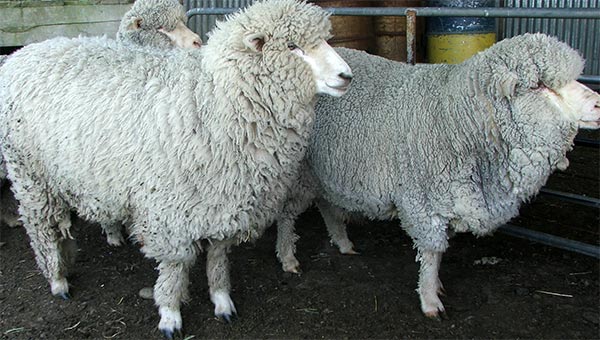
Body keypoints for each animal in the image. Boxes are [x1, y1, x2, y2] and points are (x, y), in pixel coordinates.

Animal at [0, 0, 354, 336]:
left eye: (325, 39)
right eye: (292, 46)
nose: (346, 76)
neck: (212, 100)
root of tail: (21, 53)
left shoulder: (225, 202)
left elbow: (218, 257)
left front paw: (222, 300)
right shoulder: (169, 211)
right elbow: (174, 266)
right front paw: (170, 315)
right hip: (29, 174)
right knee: (42, 228)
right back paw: (57, 279)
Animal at [276, 33, 600, 320]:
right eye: (540, 86)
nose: (598, 103)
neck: (461, 118)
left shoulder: (447, 199)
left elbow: (441, 251)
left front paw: (437, 288)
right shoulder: (422, 202)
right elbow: (432, 252)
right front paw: (430, 299)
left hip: (323, 170)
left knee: (326, 204)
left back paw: (343, 243)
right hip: (300, 170)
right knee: (288, 213)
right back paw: (289, 257)